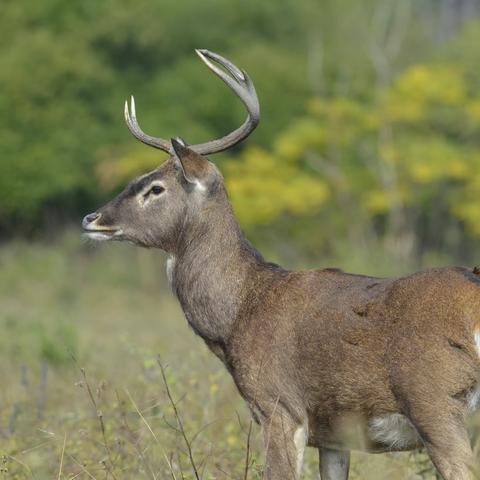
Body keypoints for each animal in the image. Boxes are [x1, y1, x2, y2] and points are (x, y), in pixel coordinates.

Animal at [82, 49, 480, 480]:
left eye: (155, 189)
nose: (92, 218)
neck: (239, 311)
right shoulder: (333, 435)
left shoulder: (278, 406)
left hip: (435, 402)